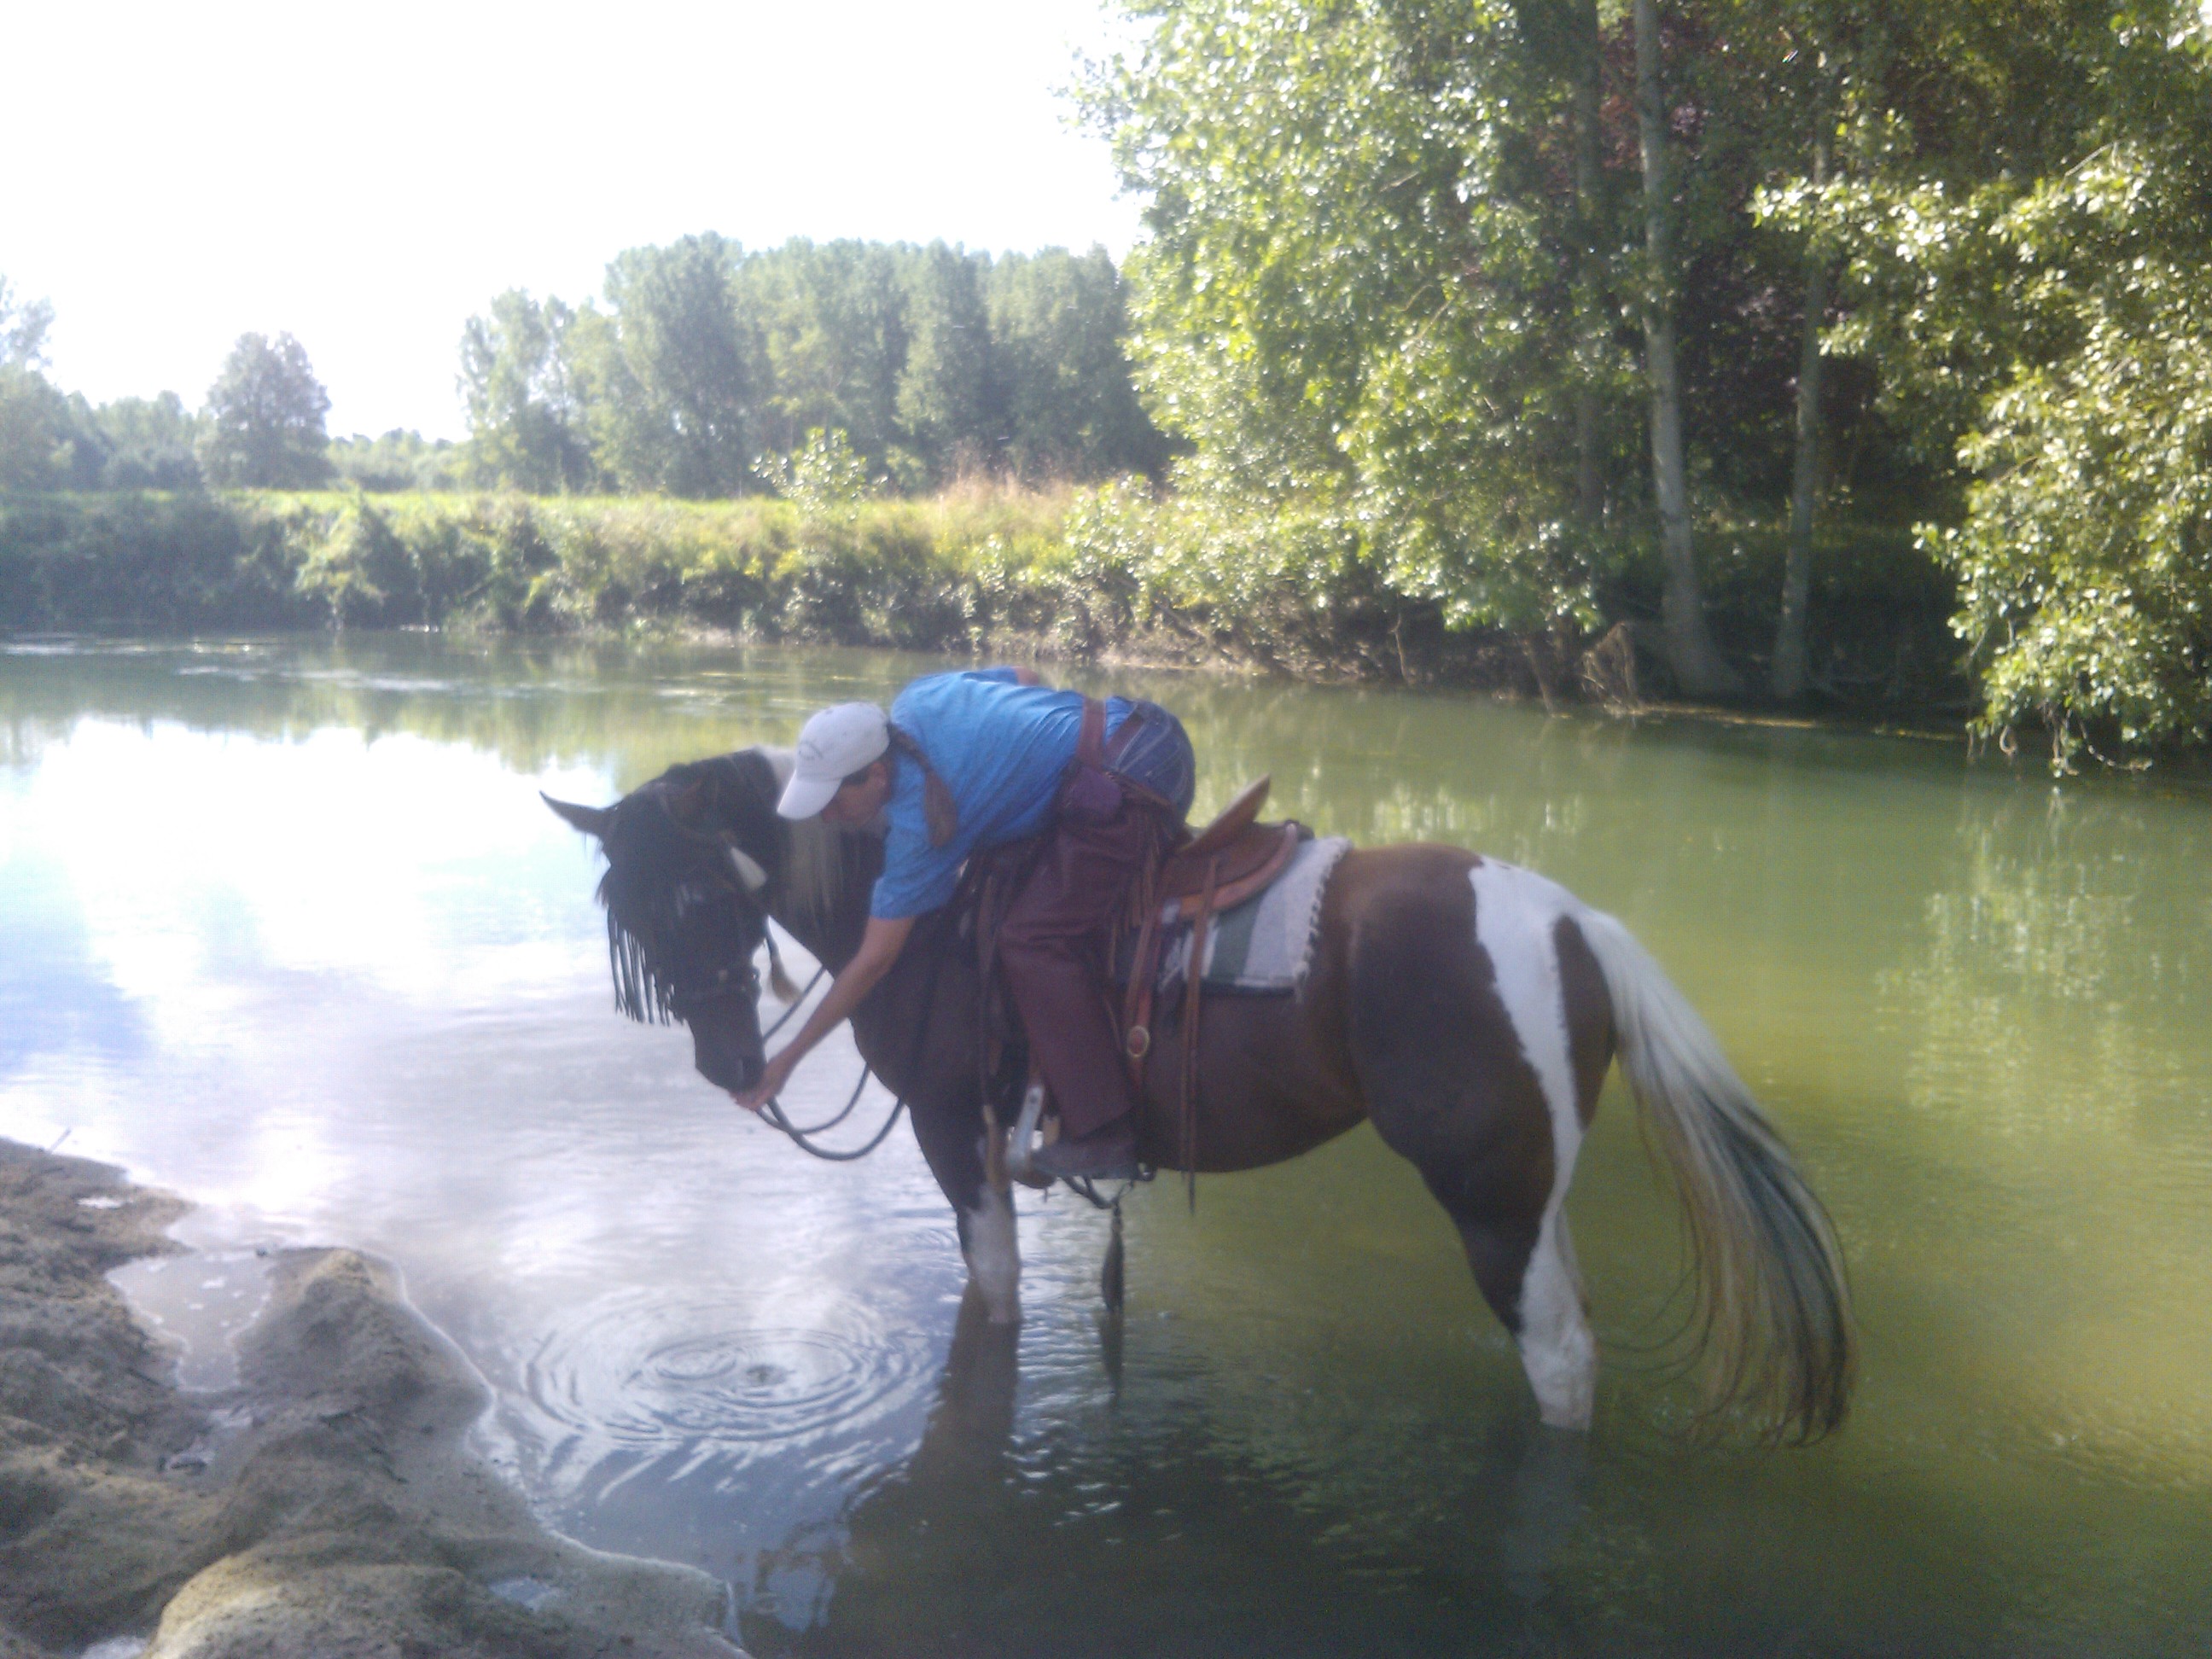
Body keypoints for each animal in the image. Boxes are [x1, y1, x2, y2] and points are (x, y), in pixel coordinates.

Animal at [543, 746, 1853, 1441]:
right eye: (627, 917)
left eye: (695, 897)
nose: (729, 1067)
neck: (927, 911)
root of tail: (1578, 922)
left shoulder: (954, 1131)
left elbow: (995, 1293)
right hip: (1537, 1194)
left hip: (1491, 1200)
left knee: (1559, 1356)